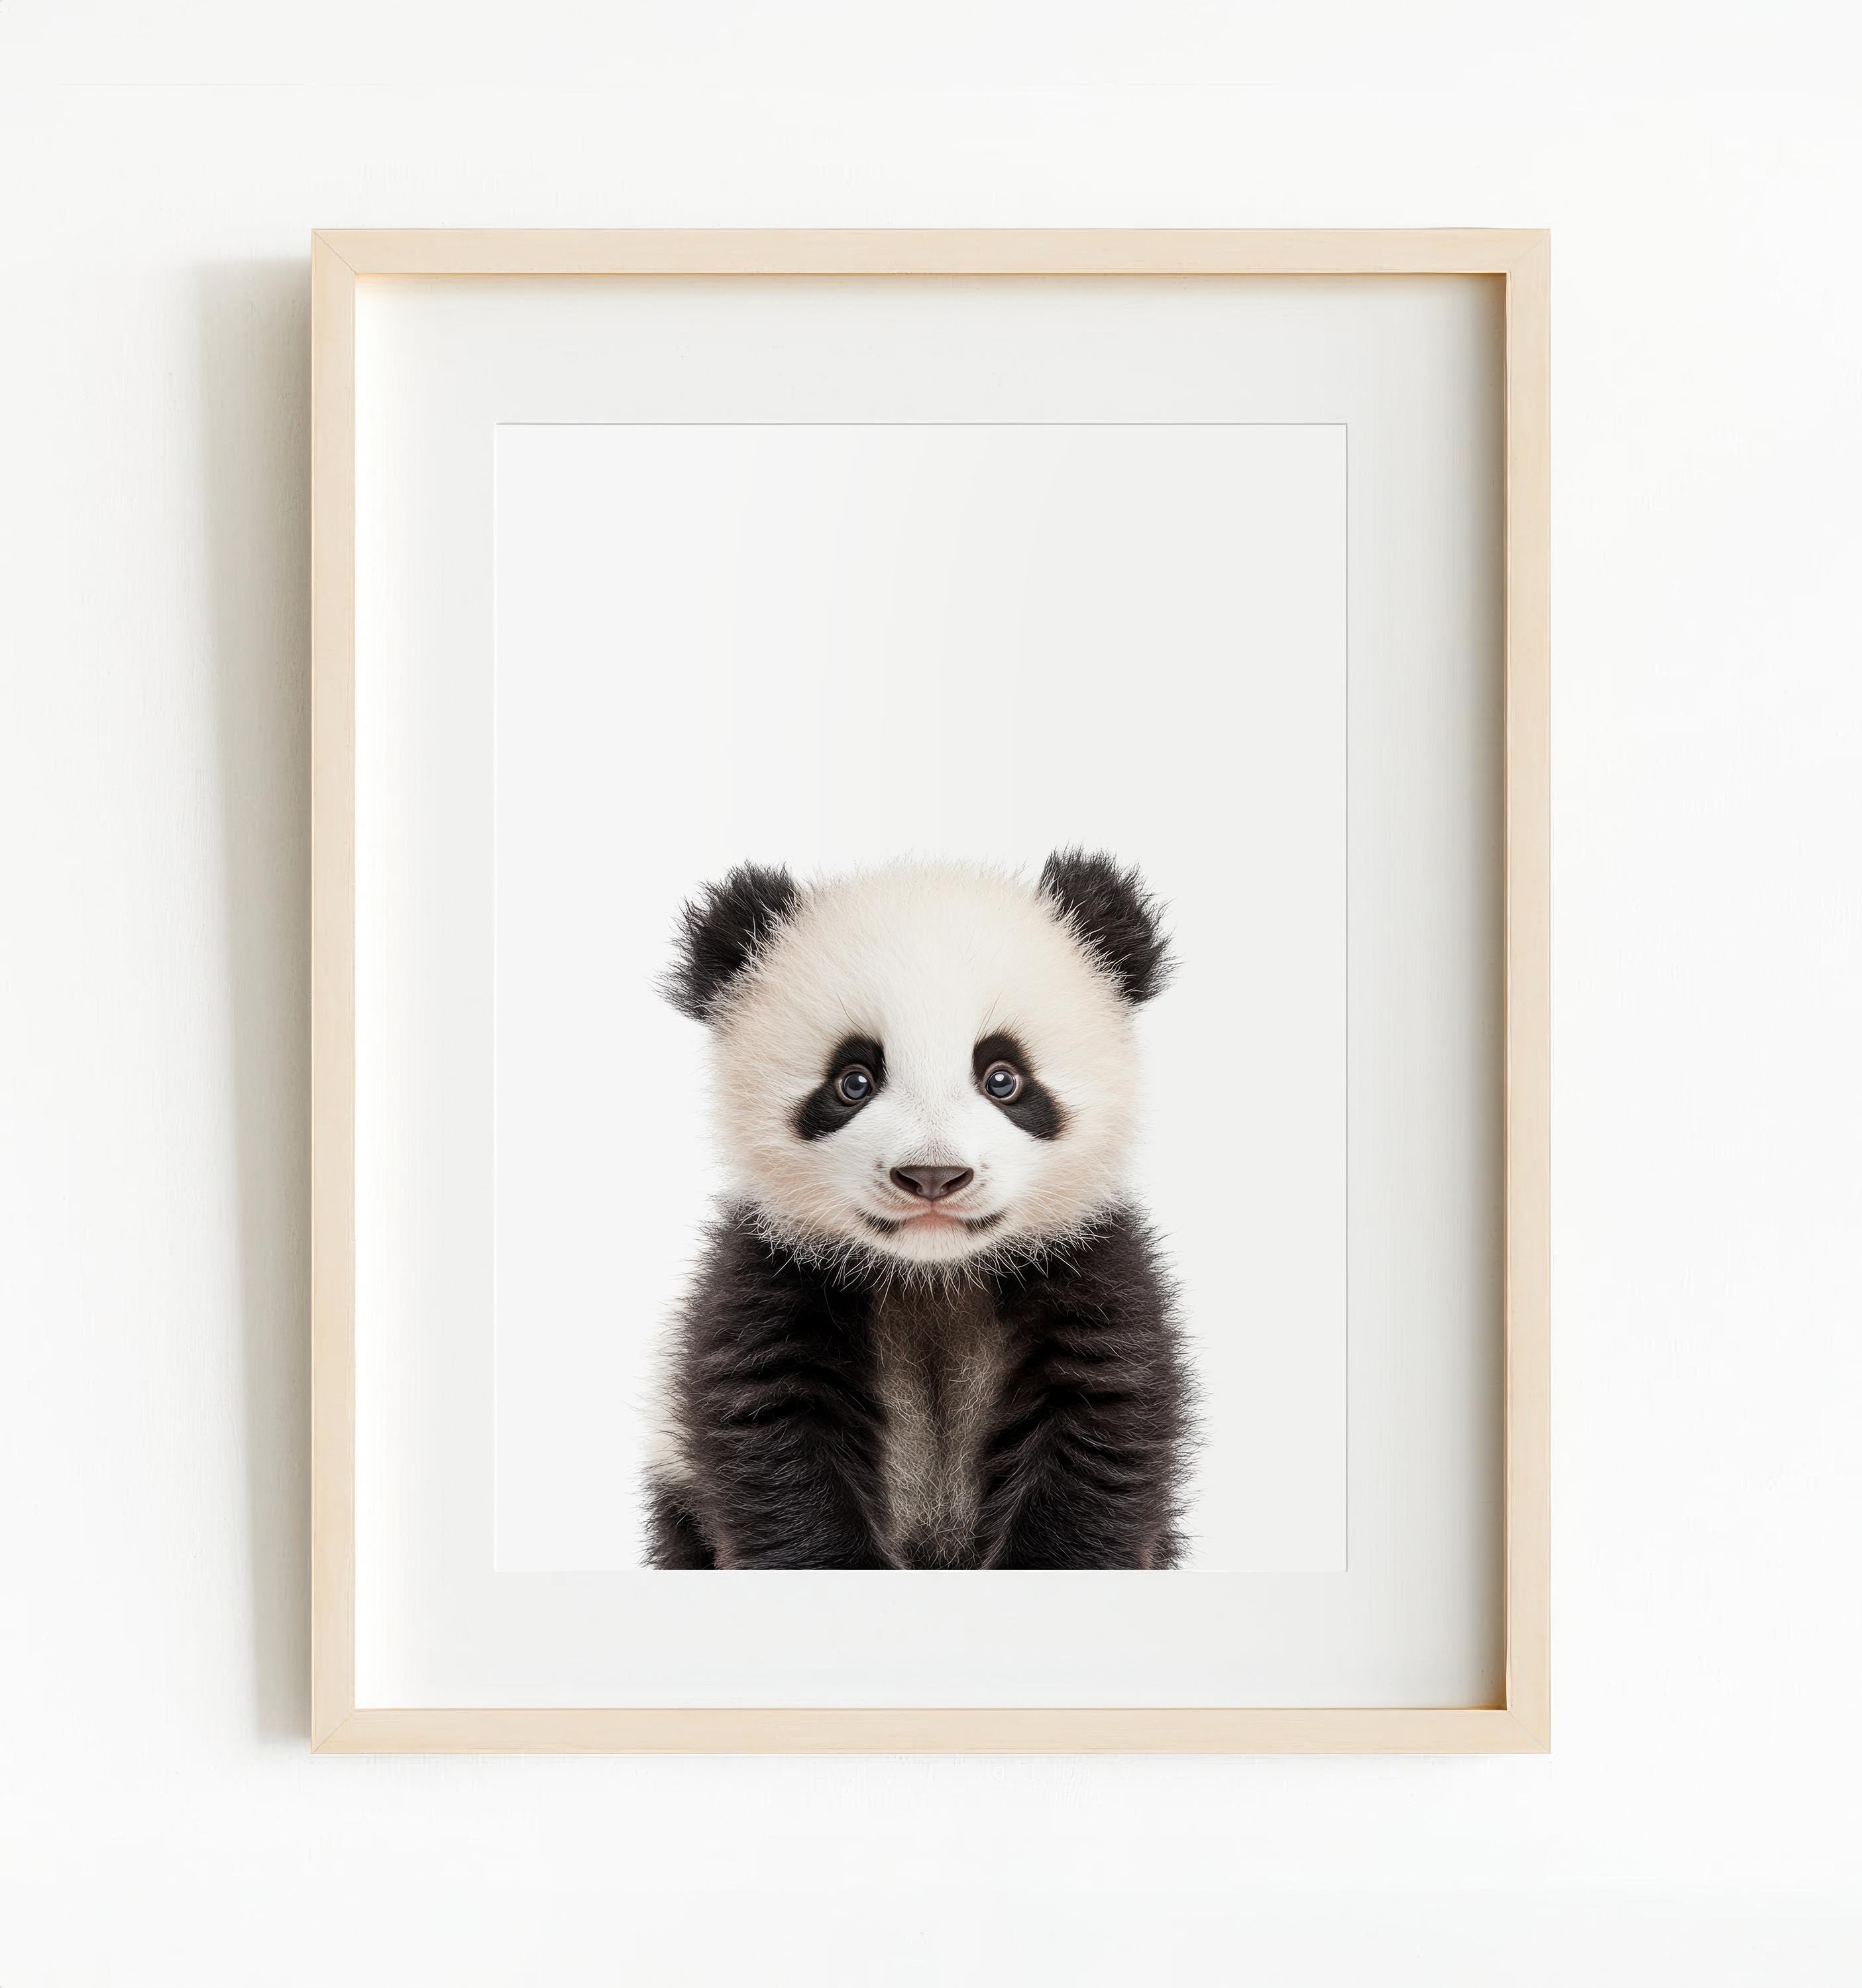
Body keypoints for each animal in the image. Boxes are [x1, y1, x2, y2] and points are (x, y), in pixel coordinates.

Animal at [643, 848, 1195, 1570]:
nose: (933, 1175)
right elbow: (775, 1437)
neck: (932, 1274)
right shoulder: (774, 1278)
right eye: (852, 1082)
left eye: (1003, 1078)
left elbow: (1097, 1426)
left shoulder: (1089, 1272)